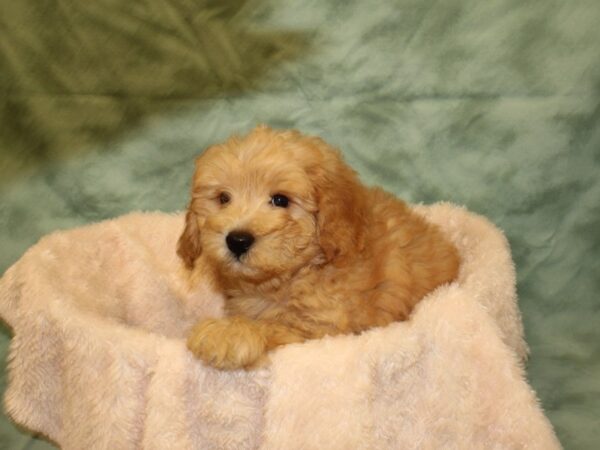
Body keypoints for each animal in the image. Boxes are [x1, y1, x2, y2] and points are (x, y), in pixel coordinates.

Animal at [178, 125, 460, 370]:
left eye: (280, 200)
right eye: (223, 199)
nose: (237, 240)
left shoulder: (324, 329)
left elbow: (277, 327)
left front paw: (226, 334)